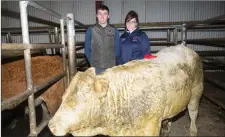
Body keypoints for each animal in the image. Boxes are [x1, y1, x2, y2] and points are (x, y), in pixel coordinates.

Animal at [48, 44, 203, 136]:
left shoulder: (151, 126)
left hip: (196, 91)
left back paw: (193, 130)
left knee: (193, 112)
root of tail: (184, 47)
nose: (51, 125)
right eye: (64, 95)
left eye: (85, 94)